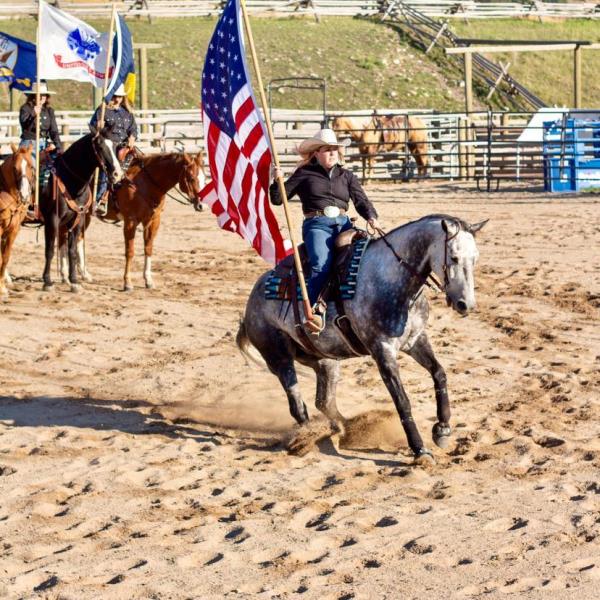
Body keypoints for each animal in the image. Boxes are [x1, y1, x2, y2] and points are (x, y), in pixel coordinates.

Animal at [40, 129, 122, 292]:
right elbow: (50, 250)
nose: (117, 174)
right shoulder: (52, 220)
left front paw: (74, 281)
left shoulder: (77, 220)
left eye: (116, 145)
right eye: (100, 146)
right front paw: (47, 281)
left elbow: (72, 250)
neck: (68, 180)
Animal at [99, 151, 205, 290]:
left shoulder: (153, 220)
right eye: (192, 178)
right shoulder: (130, 221)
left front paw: (148, 280)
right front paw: (127, 282)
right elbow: (130, 251)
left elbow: (148, 248)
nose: (202, 206)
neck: (144, 183)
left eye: (204, 177)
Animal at [236, 216, 488, 464]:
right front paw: (420, 450)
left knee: (323, 402)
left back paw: (347, 428)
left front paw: (442, 430)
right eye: (454, 257)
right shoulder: (382, 350)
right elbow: (402, 400)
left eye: (475, 258)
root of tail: (251, 303)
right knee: (298, 406)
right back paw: (308, 437)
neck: (390, 278)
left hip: (325, 361)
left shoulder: (416, 340)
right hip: (279, 359)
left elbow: (439, 373)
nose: (465, 304)